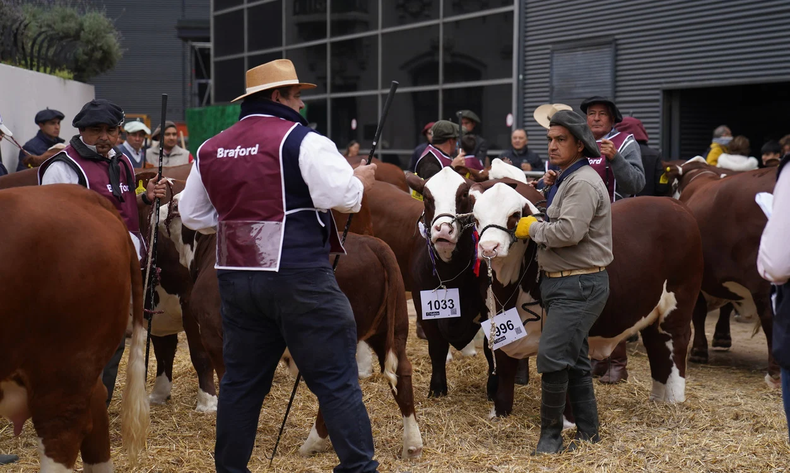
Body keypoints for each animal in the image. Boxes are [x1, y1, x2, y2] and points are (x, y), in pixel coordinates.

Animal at [470, 183, 704, 414]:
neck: (508, 289)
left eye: (515, 215)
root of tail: (673, 204)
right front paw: (499, 413)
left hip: (679, 302)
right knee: (656, 344)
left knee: (676, 341)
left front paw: (567, 419)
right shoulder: (497, 328)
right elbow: (504, 371)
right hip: (652, 309)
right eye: (476, 218)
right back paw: (658, 398)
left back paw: (673, 400)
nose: (489, 248)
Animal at [664, 157, 780, 386]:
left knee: (770, 317)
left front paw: (699, 351)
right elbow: (724, 306)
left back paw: (774, 372)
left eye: (672, 186)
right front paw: (722, 337)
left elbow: (699, 311)